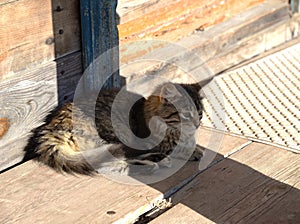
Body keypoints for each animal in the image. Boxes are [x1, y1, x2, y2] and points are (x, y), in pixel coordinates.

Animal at [25, 82, 205, 175]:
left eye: (200, 114)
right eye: (186, 115)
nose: (197, 125)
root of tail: (51, 126)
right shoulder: (158, 142)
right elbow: (179, 147)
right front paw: (195, 151)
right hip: (115, 132)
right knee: (109, 162)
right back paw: (152, 165)